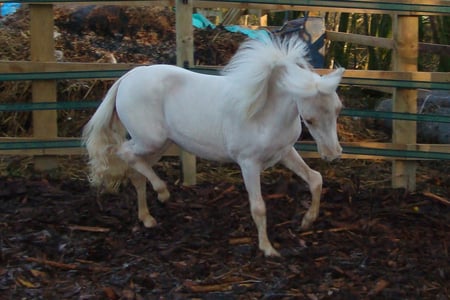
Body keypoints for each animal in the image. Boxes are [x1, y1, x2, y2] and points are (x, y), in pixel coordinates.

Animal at [83, 34, 344, 255]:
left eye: (338, 109)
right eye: (310, 119)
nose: (333, 154)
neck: (264, 111)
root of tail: (128, 76)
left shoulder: (285, 152)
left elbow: (315, 179)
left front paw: (307, 221)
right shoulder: (249, 163)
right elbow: (258, 207)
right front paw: (268, 249)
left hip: (159, 145)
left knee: (137, 171)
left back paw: (147, 218)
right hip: (150, 139)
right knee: (123, 152)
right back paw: (163, 192)